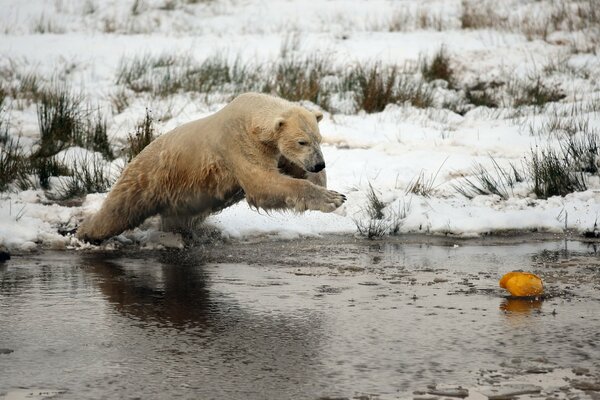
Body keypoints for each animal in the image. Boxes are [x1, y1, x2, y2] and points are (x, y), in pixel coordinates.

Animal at [76, 93, 346, 242]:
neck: (252, 116)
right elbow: (262, 184)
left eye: (318, 139)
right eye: (302, 141)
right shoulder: (239, 144)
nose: (318, 163)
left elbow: (291, 169)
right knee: (118, 211)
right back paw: (84, 233)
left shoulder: (274, 150)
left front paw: (328, 189)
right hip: (147, 179)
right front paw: (333, 199)